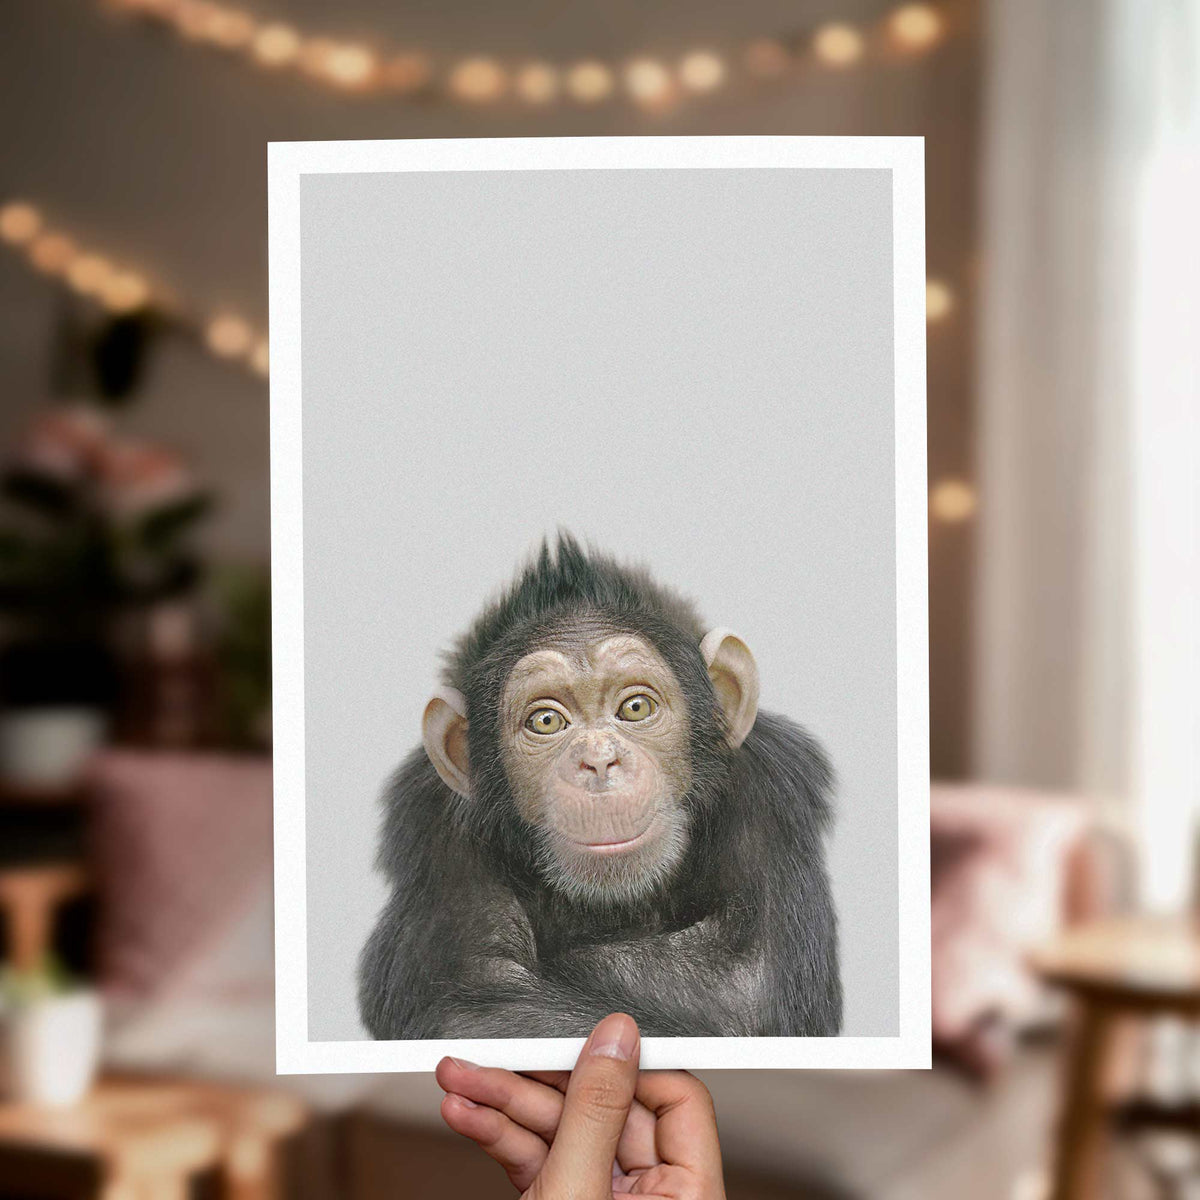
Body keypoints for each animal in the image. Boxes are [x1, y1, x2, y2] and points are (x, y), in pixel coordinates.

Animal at [358, 534, 841, 1039]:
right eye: (546, 721)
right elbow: (475, 1008)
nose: (598, 759)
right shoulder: (434, 830)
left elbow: (744, 982)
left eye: (635, 707)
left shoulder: (770, 790)